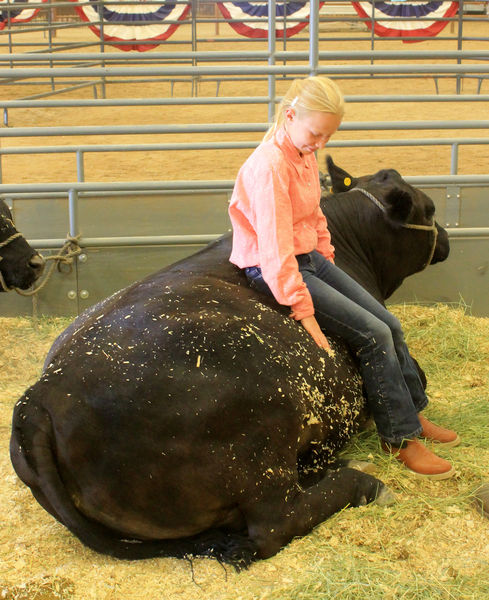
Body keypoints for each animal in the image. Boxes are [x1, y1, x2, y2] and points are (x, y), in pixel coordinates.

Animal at [9, 158, 448, 568]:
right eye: (429, 208)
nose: (444, 239)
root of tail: (41, 395)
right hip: (261, 447)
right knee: (277, 522)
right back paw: (362, 481)